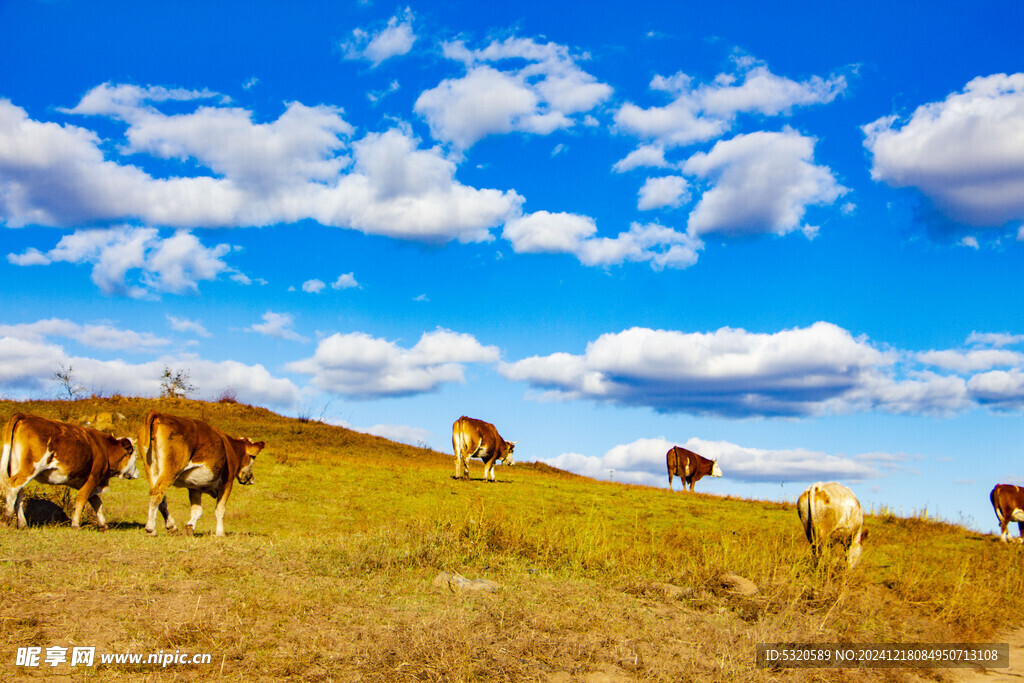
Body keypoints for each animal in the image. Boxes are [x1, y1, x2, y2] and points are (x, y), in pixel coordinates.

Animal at [0, 411, 138, 528]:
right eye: (135, 456)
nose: (137, 473)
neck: (105, 448)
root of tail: (25, 416)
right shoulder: (93, 478)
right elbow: (82, 499)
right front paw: (75, 524)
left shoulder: (86, 482)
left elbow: (96, 502)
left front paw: (103, 524)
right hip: (30, 468)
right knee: (12, 487)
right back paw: (6, 518)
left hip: (16, 467)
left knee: (18, 494)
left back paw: (22, 523)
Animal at [136, 411, 264, 540]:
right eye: (253, 457)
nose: (252, 479)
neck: (231, 448)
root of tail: (160, 414)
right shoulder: (227, 483)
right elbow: (220, 509)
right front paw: (220, 533)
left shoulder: (195, 486)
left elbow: (197, 510)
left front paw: (189, 528)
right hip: (172, 467)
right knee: (157, 493)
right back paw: (150, 528)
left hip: (151, 469)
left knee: (161, 498)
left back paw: (171, 526)